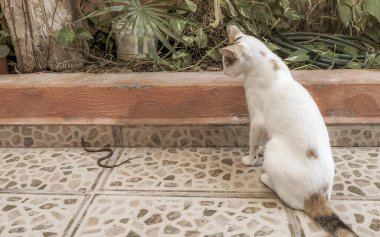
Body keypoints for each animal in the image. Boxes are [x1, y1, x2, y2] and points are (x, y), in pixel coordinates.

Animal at [218, 25, 358, 237]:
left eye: (227, 62)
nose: (223, 71)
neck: (266, 60)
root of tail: (319, 194)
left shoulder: (257, 120)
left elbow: (253, 143)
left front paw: (250, 160)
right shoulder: (265, 125)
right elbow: (260, 141)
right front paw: (257, 154)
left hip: (275, 147)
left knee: (289, 198)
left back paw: (265, 177)